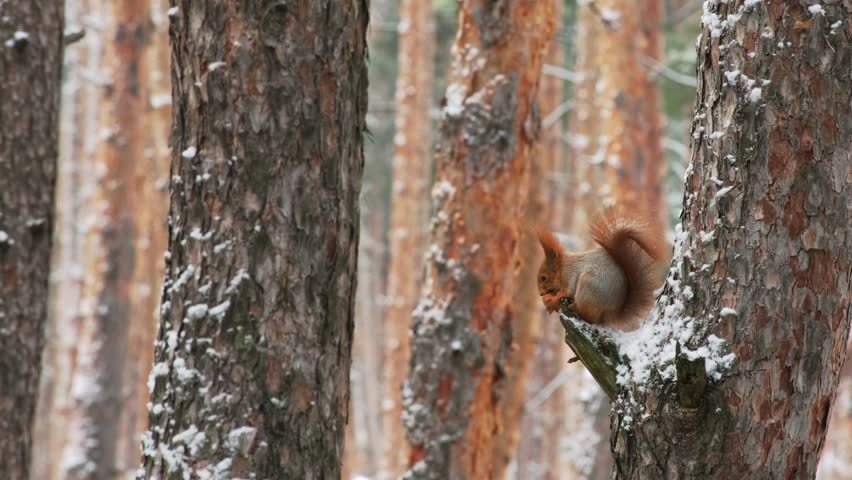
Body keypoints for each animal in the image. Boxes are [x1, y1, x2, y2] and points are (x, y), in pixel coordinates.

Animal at [536, 206, 666, 329]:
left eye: (544, 277)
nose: (540, 294)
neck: (562, 266)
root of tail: (612, 315)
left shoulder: (569, 273)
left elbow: (568, 290)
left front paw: (553, 301)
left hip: (588, 286)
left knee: (589, 317)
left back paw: (575, 308)